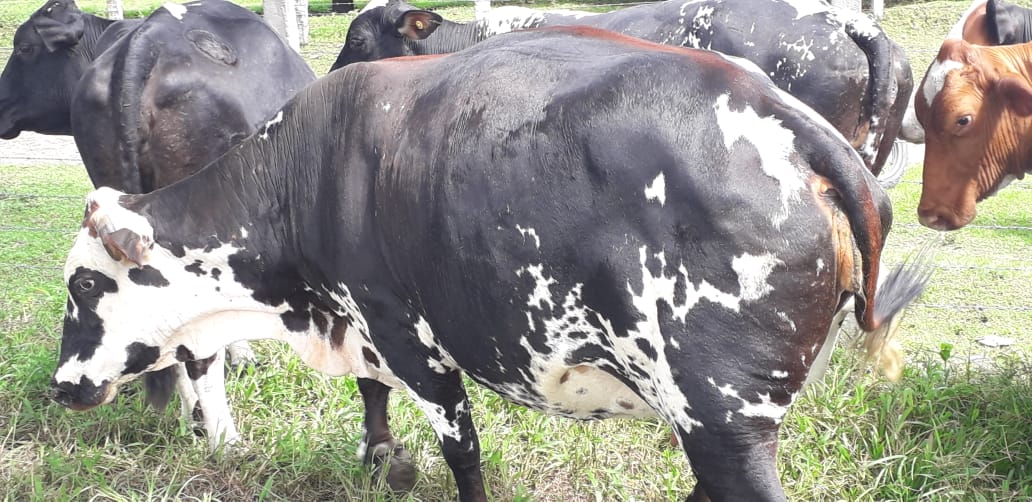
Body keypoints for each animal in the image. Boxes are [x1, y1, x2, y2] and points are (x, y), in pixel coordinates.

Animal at [50, 27, 928, 500]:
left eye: (85, 284)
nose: (60, 387)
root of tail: (797, 127)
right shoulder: (366, 327)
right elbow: (374, 402)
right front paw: (381, 459)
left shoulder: (410, 337)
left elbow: (461, 453)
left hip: (724, 420)